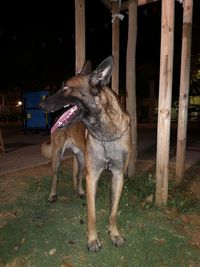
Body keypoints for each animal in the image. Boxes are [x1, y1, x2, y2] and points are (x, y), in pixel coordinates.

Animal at [39, 56, 132, 253]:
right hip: (57, 156)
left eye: (66, 88)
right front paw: (93, 240)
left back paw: (80, 191)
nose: (40, 105)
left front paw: (114, 234)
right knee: (55, 176)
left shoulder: (118, 175)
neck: (106, 133)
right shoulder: (93, 176)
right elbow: (92, 214)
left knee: (78, 175)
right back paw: (53, 194)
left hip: (82, 160)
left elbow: (113, 212)